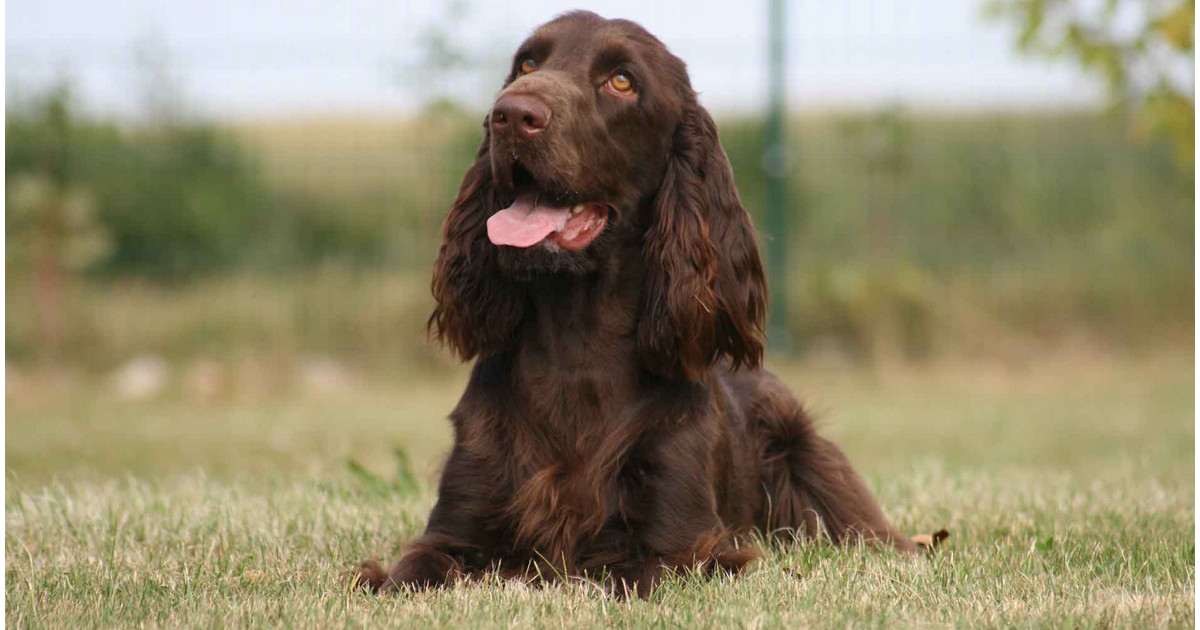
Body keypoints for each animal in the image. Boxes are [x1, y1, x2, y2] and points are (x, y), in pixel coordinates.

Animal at [355, 11, 926, 600]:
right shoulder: (453, 530)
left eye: (622, 81)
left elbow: (627, 576)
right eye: (527, 65)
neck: (577, 345)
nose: (511, 115)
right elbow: (409, 573)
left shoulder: (685, 547)